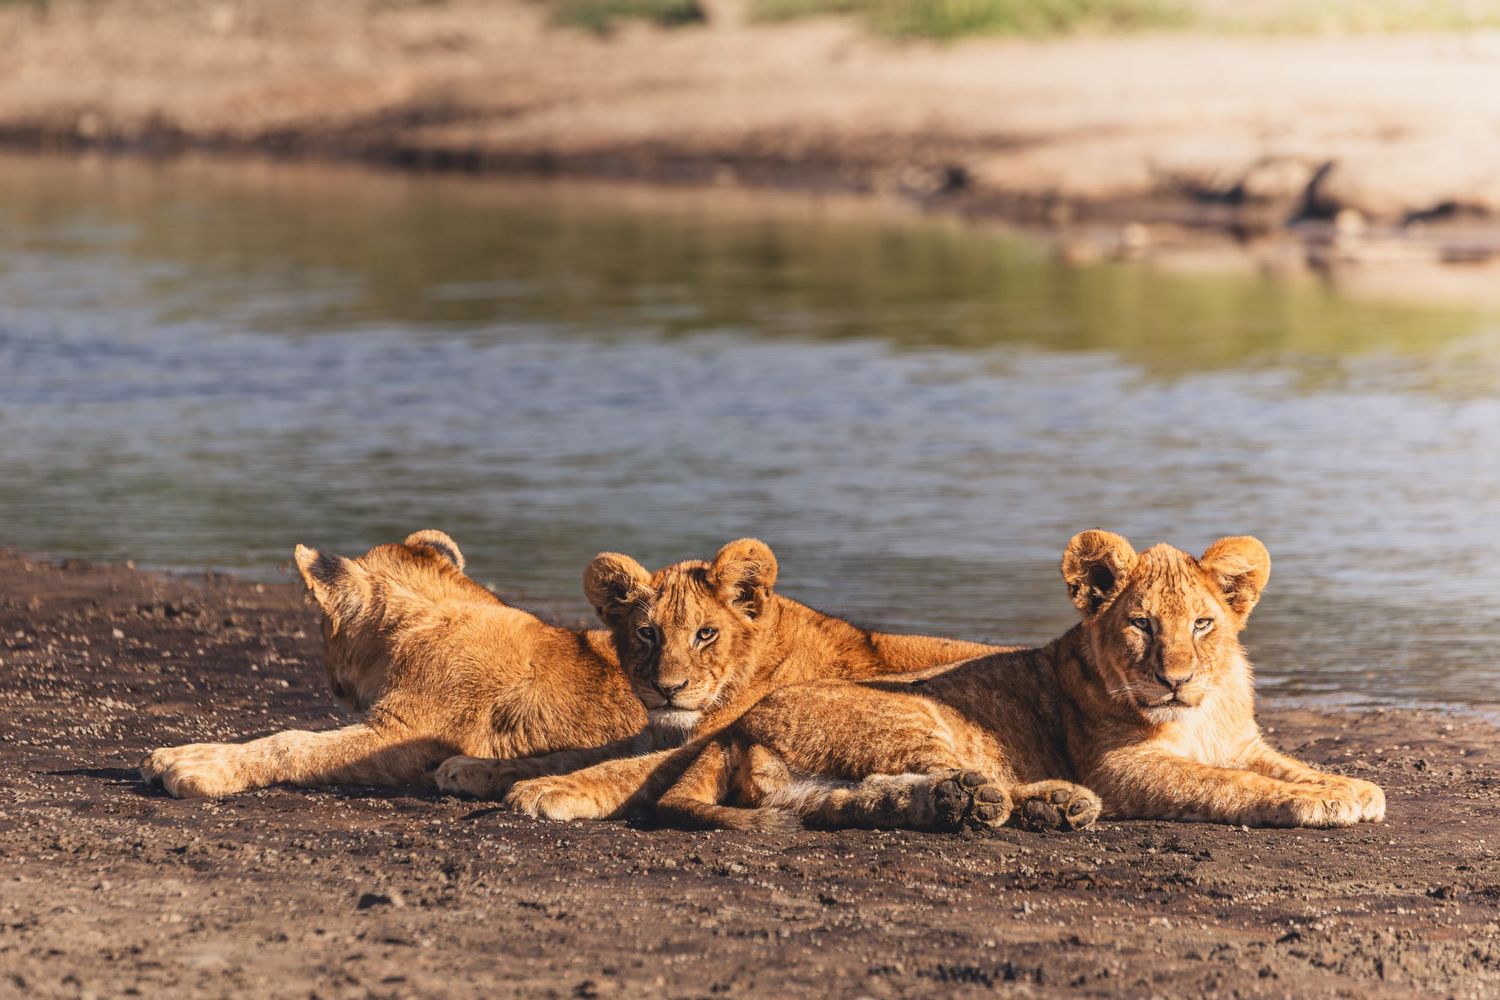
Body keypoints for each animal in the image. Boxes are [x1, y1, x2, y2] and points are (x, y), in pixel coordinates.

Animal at [434, 538, 1006, 819]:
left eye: (706, 634)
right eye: (647, 633)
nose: (668, 689)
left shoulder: (700, 741)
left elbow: (617, 769)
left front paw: (545, 791)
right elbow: (573, 753)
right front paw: (469, 767)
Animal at [655, 531, 1386, 832]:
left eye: (1204, 624)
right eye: (1141, 624)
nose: (1174, 680)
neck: (1200, 710)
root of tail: (737, 726)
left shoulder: (1243, 744)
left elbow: (1288, 765)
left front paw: (1350, 787)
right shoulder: (1124, 768)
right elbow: (1228, 785)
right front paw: (1315, 803)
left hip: (814, 786)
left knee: (852, 801)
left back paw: (983, 807)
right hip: (918, 718)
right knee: (969, 779)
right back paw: (1045, 803)